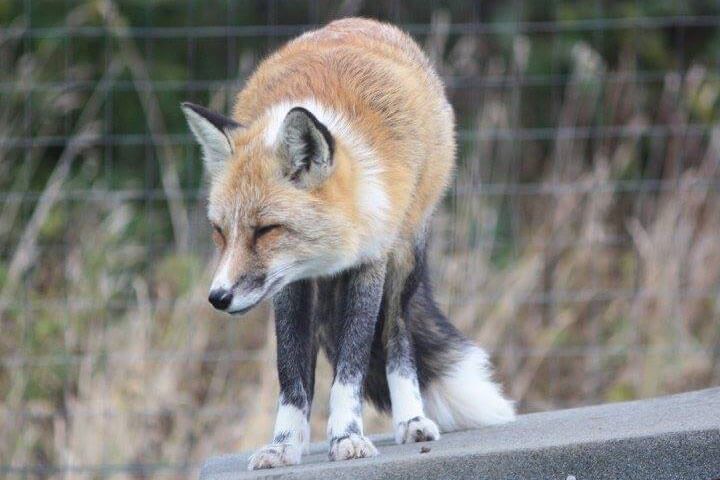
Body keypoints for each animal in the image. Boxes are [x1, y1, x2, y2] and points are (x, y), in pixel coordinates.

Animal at [183, 17, 516, 468]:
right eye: (220, 231)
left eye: (265, 230)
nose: (218, 297)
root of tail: (364, 22)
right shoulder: (291, 287)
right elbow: (291, 373)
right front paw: (284, 443)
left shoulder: (369, 265)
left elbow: (351, 369)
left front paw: (346, 436)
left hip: (405, 259)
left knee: (397, 339)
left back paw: (411, 419)